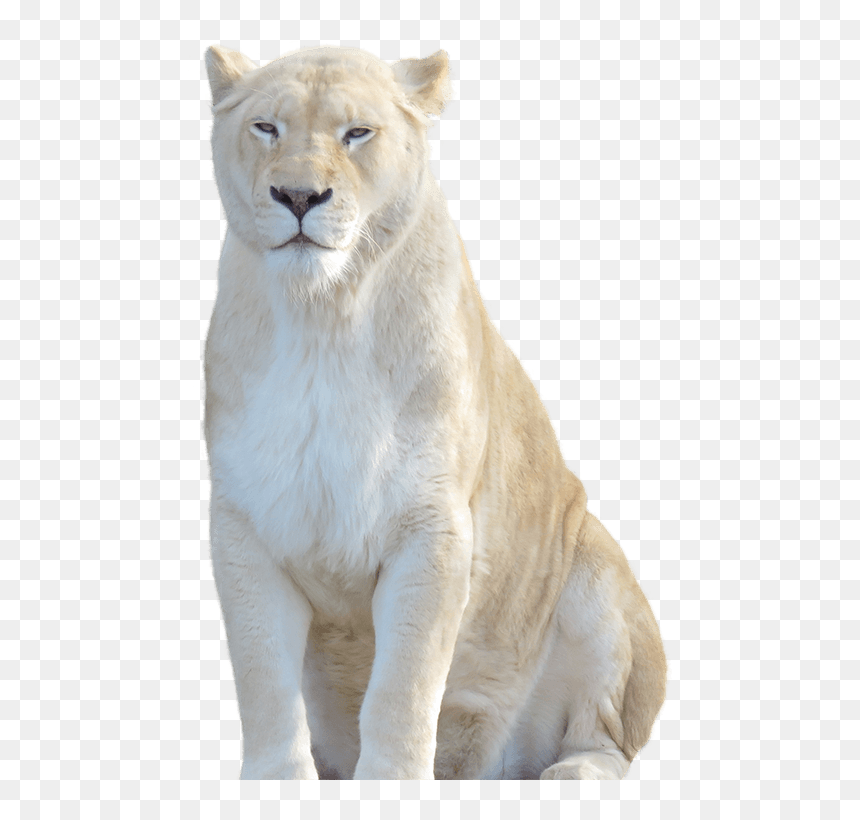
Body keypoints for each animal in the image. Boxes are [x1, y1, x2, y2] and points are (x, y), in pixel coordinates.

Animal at [203, 44, 666, 780]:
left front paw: (391, 782)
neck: (323, 318)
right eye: (267, 128)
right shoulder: (245, 522)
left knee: (607, 736)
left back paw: (570, 774)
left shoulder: (434, 525)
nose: (299, 197)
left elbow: (404, 682)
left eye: (357, 133)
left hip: (594, 563)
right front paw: (277, 783)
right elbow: (262, 677)